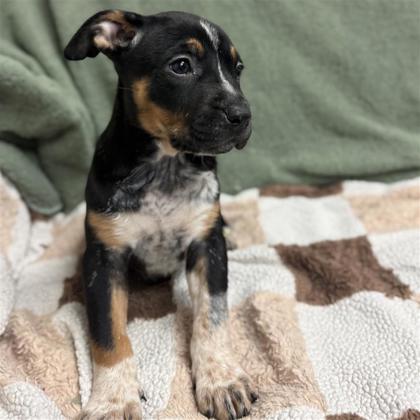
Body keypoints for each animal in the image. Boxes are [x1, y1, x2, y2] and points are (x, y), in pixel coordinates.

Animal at [64, 9, 257, 420]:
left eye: (237, 69)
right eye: (181, 65)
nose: (244, 115)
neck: (165, 168)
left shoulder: (207, 248)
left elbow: (212, 318)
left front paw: (221, 380)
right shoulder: (104, 260)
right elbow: (109, 335)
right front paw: (113, 400)